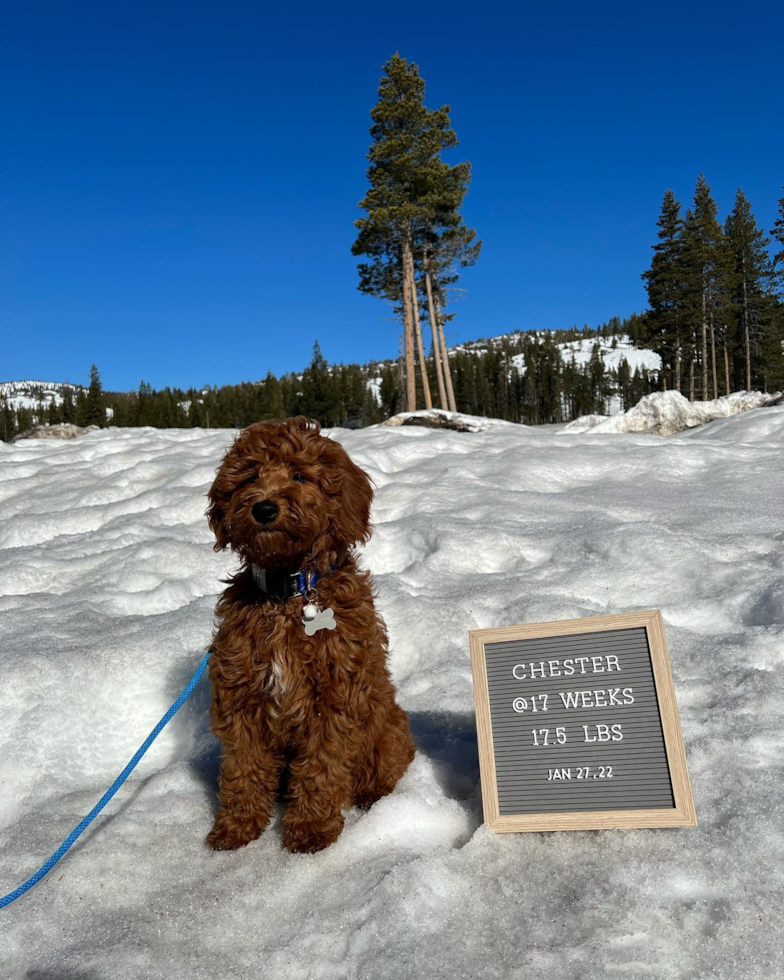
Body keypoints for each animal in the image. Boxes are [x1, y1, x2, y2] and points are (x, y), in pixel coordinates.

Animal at [204, 414, 416, 848]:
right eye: (250, 475)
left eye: (300, 475)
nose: (265, 507)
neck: (290, 591)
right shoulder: (239, 693)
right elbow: (242, 763)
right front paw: (238, 825)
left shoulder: (335, 696)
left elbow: (321, 766)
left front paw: (311, 828)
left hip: (386, 729)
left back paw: (374, 796)